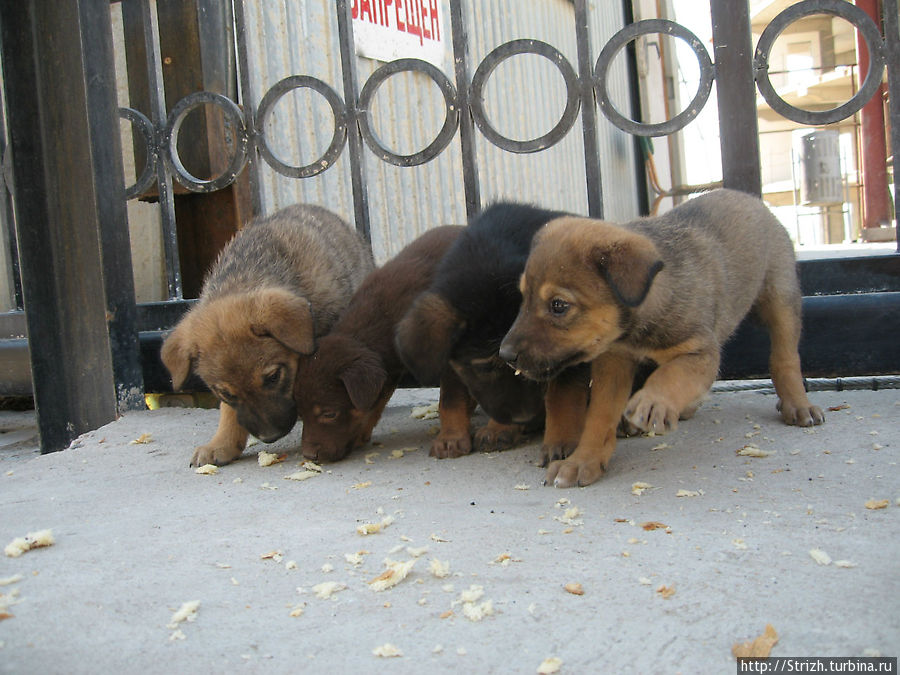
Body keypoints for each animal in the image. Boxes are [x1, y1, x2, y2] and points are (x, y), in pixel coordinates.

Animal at [298, 227, 478, 464]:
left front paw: (450, 439)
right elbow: (374, 403)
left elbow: (449, 400)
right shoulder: (388, 366)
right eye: (301, 414)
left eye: (330, 414)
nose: (310, 456)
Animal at [396, 202, 592, 464]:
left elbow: (562, 396)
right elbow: (451, 397)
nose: (524, 417)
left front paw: (558, 441)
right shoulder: (450, 357)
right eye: (485, 367)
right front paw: (451, 437)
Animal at [502, 187, 828, 488]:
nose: (505, 355)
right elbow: (599, 416)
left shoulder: (700, 352)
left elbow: (672, 375)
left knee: (785, 358)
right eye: (523, 297)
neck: (636, 330)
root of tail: (747, 196)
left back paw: (798, 405)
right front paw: (583, 461)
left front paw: (653, 403)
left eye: (558, 305)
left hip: (780, 298)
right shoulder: (614, 362)